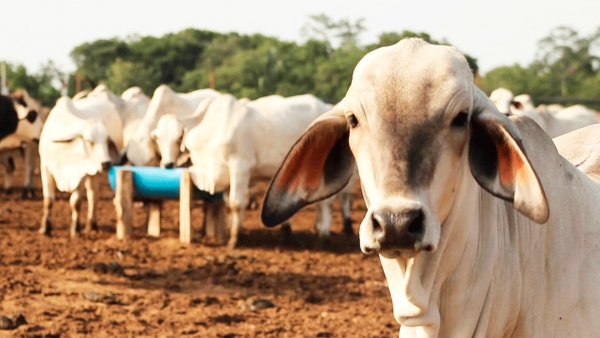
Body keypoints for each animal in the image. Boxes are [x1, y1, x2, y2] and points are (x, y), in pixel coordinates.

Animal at [37, 97, 123, 238]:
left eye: (106, 141)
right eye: (89, 141)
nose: (106, 163)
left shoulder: (80, 173)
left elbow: (75, 202)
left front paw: (75, 230)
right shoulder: (45, 166)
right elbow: (48, 200)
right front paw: (45, 229)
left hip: (91, 172)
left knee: (93, 195)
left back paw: (91, 225)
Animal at [185, 93, 356, 250]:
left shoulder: (239, 167)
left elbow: (235, 204)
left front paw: (234, 239)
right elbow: (228, 206)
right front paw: (232, 232)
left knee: (328, 203)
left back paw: (323, 238)